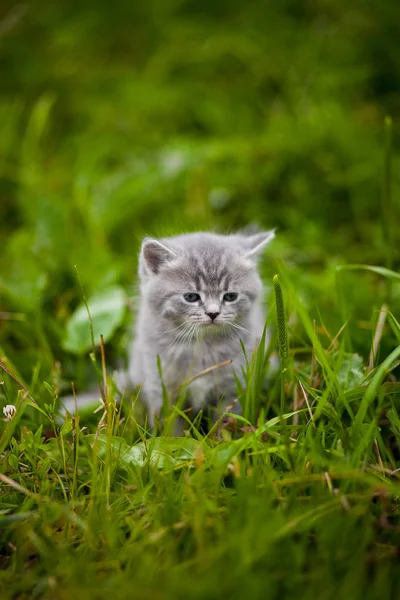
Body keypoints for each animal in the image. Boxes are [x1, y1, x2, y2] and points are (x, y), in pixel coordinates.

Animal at [128, 230, 276, 422]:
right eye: (191, 297)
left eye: (230, 296)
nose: (213, 313)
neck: (202, 347)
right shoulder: (161, 388)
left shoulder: (233, 387)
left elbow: (227, 421)